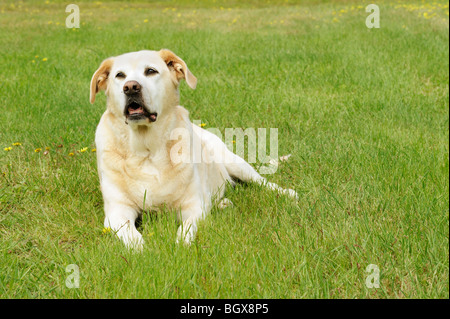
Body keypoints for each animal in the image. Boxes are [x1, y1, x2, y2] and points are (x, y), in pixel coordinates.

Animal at [89, 49, 298, 250]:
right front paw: (142, 251)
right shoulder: (117, 212)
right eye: (120, 75)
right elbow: (131, 235)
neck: (147, 149)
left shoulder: (193, 207)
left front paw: (182, 246)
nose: (131, 87)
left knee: (261, 181)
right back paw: (223, 203)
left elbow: (186, 228)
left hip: (234, 162)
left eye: (150, 71)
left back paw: (286, 193)